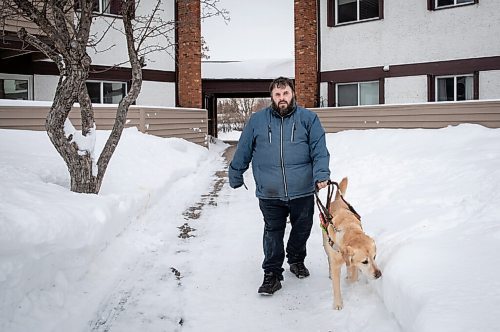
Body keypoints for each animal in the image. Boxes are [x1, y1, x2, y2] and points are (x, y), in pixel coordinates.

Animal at [320, 178, 382, 310]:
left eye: (374, 257)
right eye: (365, 261)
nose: (379, 274)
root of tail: (337, 199)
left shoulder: (352, 261)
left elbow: (353, 276)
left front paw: (349, 279)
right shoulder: (336, 264)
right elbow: (336, 285)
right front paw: (338, 304)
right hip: (326, 245)